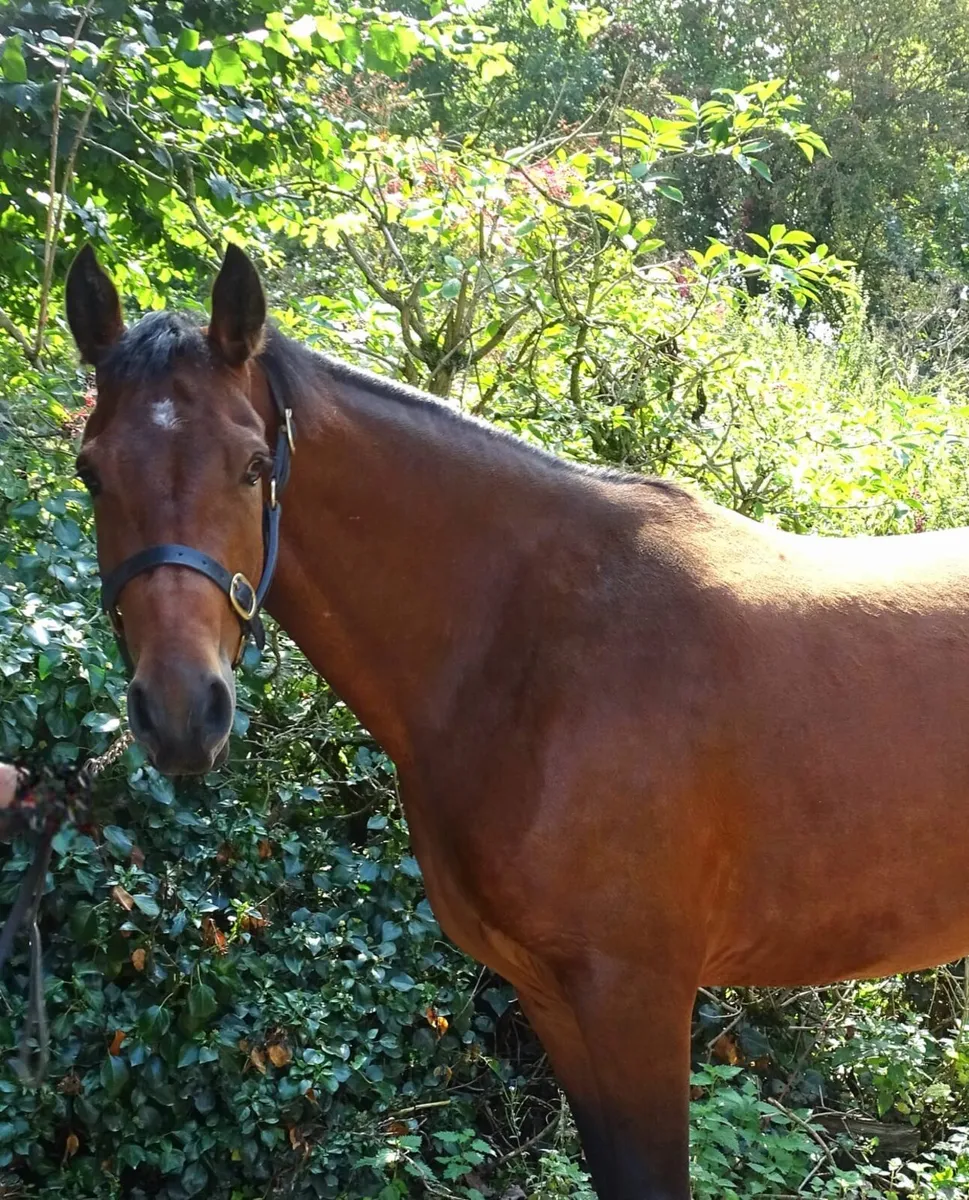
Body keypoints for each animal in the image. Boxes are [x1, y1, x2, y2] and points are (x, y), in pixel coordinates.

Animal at [64, 242, 969, 1199]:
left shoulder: (633, 999)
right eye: (91, 471)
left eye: (252, 467)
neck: (531, 644)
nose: (178, 711)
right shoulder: (552, 998)